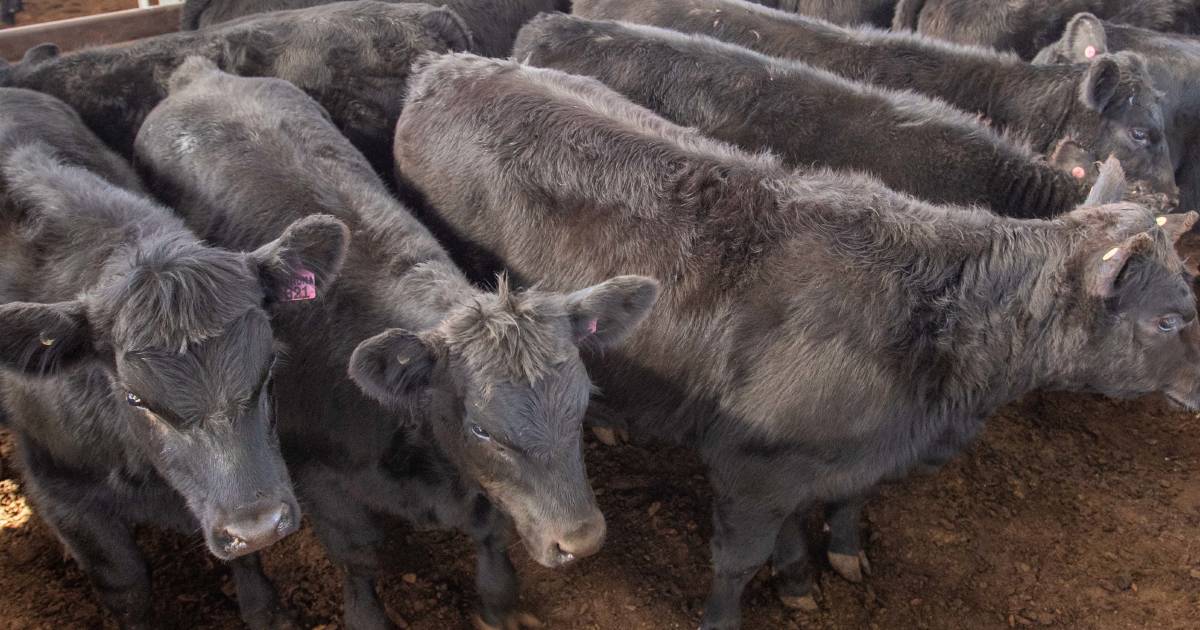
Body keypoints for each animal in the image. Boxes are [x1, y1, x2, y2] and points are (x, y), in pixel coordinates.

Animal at [0, 85, 350, 624]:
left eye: (268, 369)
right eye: (136, 398)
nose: (258, 526)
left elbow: (247, 566)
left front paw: (267, 611)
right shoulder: (61, 494)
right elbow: (127, 587)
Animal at [136, 57, 662, 628]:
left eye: (582, 404)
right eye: (481, 428)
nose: (580, 540)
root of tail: (202, 74)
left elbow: (492, 537)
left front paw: (498, 604)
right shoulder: (319, 481)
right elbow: (359, 559)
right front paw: (368, 614)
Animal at [393, 51, 1200, 624]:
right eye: (1168, 317)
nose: (1199, 381)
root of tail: (446, 65)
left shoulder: (836, 455)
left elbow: (844, 507)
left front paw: (821, 563)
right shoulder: (748, 465)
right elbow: (736, 560)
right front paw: (738, 608)